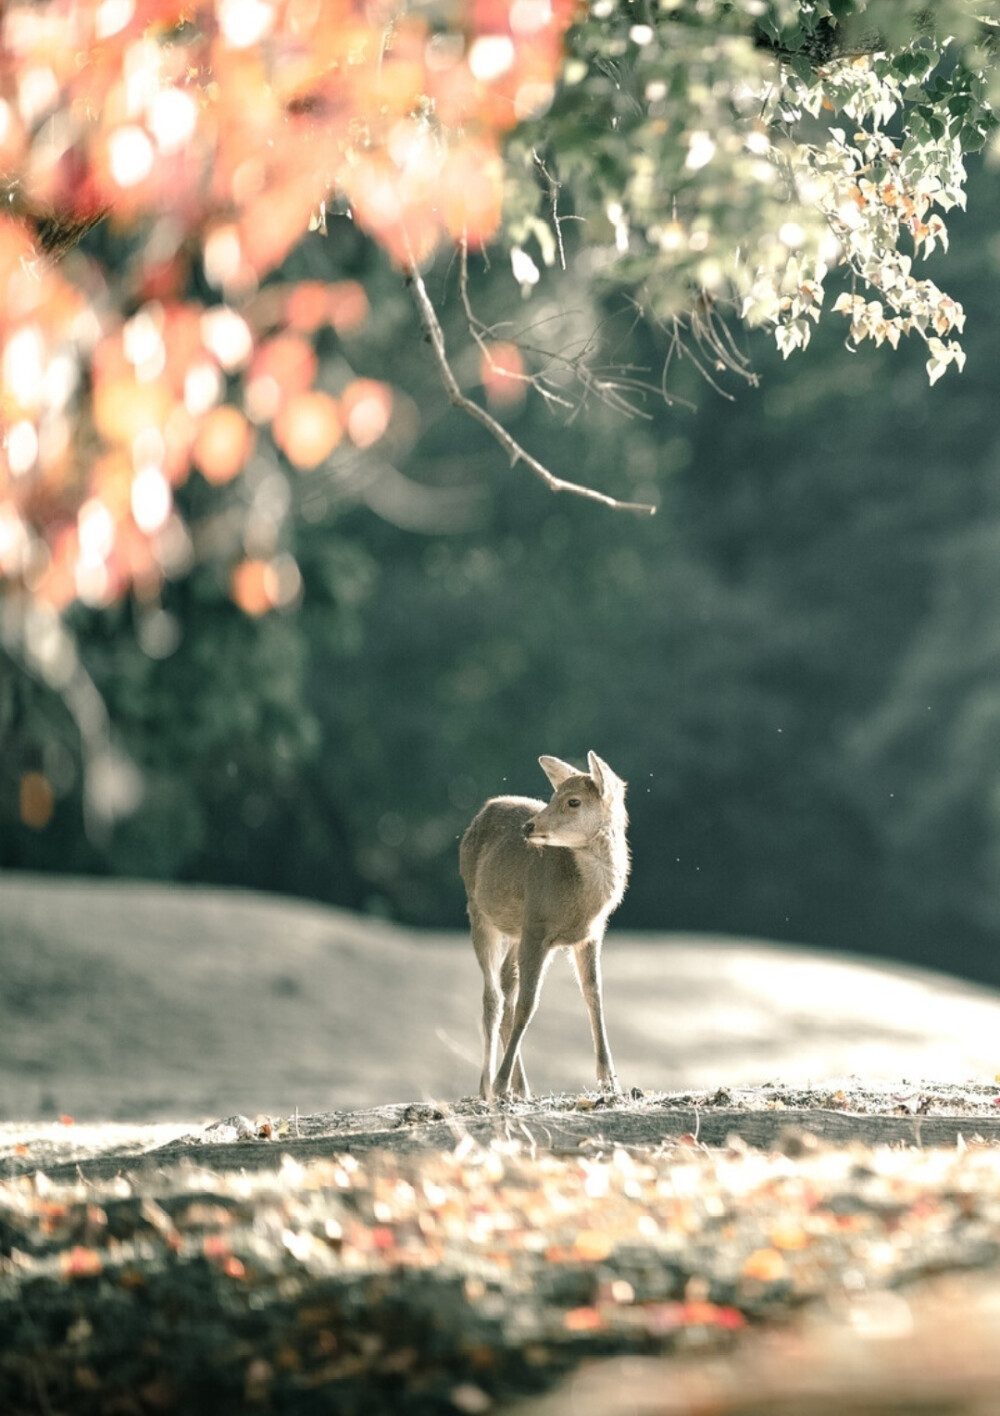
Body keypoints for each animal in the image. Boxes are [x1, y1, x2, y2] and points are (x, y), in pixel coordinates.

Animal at [458, 753, 626, 1104]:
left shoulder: (590, 935)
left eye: (573, 801)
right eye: (552, 795)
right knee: (493, 996)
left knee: (506, 982)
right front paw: (500, 1083)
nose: (529, 826)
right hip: (478, 910)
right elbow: (528, 1002)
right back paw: (487, 1086)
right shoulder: (537, 925)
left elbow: (594, 994)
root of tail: (484, 808)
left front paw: (610, 1082)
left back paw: (520, 1087)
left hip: (515, 930)